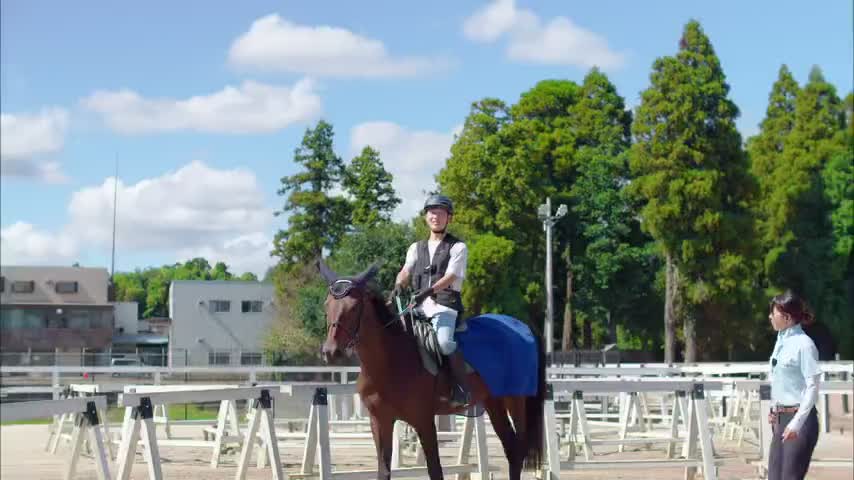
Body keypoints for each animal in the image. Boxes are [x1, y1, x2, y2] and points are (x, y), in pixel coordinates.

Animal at [318, 262, 544, 480]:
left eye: (354, 307)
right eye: (327, 305)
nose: (331, 352)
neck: (390, 361)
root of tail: (520, 327)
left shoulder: (424, 421)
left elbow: (435, 470)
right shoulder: (380, 421)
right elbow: (384, 471)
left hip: (516, 400)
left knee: (518, 449)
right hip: (493, 402)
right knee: (511, 449)